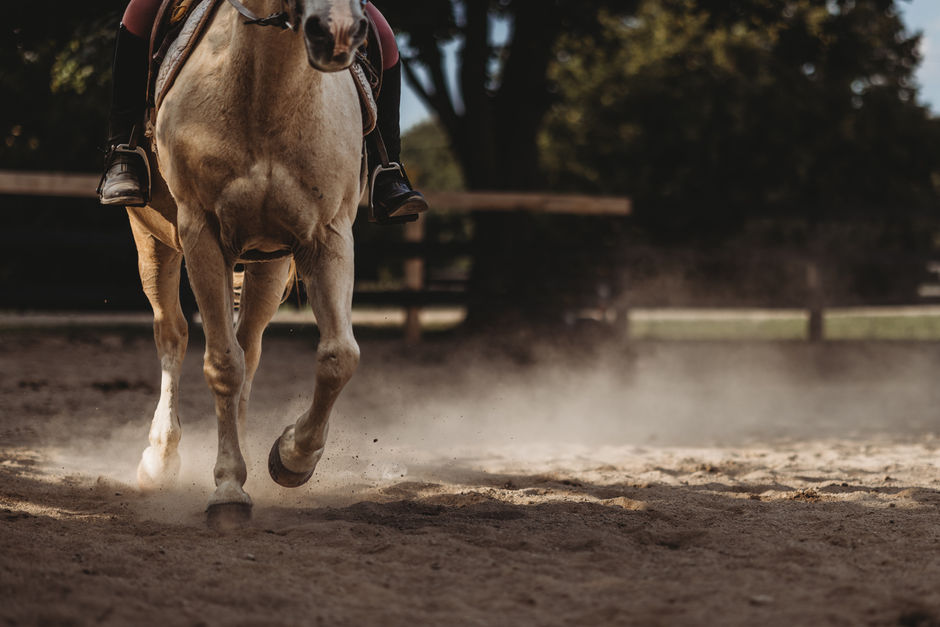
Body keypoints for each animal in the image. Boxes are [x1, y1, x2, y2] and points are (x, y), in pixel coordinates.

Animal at [127, 0, 368, 524]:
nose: (337, 31)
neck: (268, 89)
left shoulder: (328, 235)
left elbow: (338, 357)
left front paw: (292, 457)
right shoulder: (201, 235)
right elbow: (222, 364)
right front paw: (227, 490)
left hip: (268, 265)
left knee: (250, 347)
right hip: (152, 240)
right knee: (172, 334)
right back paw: (159, 459)